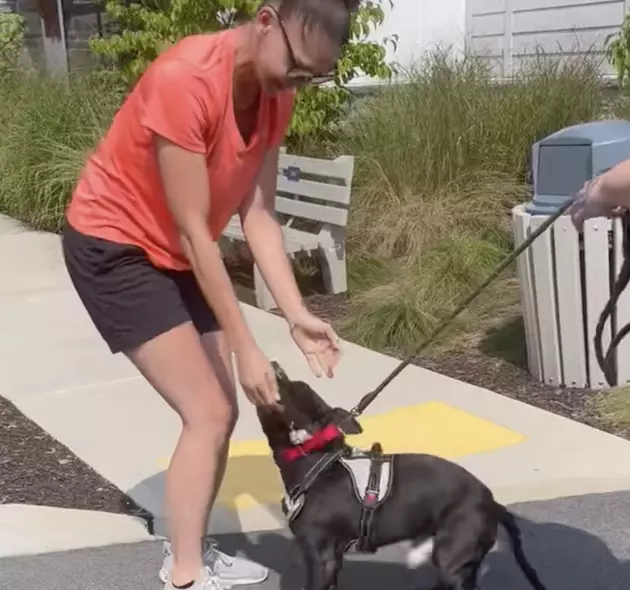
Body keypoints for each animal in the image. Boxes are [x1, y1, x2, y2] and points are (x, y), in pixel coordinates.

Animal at [256, 364, 548, 590]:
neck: (314, 459)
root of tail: (492, 503)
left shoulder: (321, 558)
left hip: (452, 556)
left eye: (284, 384)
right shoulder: (333, 561)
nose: (273, 364)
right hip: (464, 562)